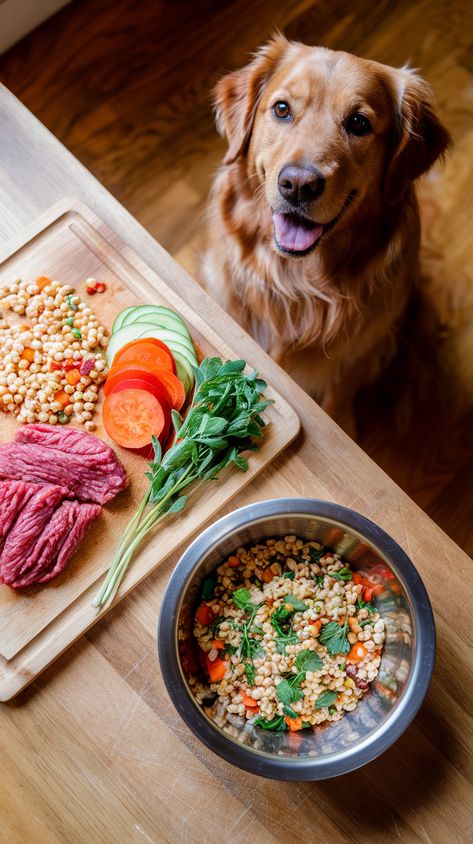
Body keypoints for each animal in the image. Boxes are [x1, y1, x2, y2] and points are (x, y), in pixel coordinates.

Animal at [200, 33, 450, 436]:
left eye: (359, 123)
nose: (298, 185)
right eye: (282, 109)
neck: (297, 286)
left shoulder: (359, 351)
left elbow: (338, 395)